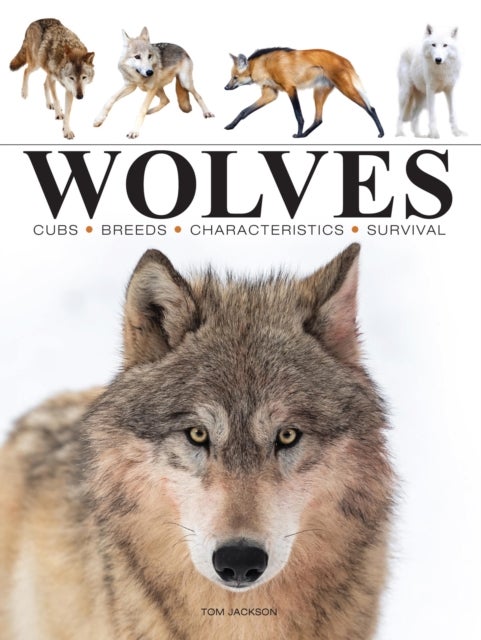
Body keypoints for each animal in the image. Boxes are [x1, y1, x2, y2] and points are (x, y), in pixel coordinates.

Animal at [224, 47, 384, 138]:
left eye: (234, 77)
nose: (226, 87)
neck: (264, 66)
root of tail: (345, 59)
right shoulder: (270, 94)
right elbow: (244, 111)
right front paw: (230, 126)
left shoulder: (290, 88)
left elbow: (298, 115)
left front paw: (298, 133)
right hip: (319, 92)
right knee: (318, 119)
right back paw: (306, 135)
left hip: (345, 88)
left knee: (371, 108)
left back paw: (381, 133)